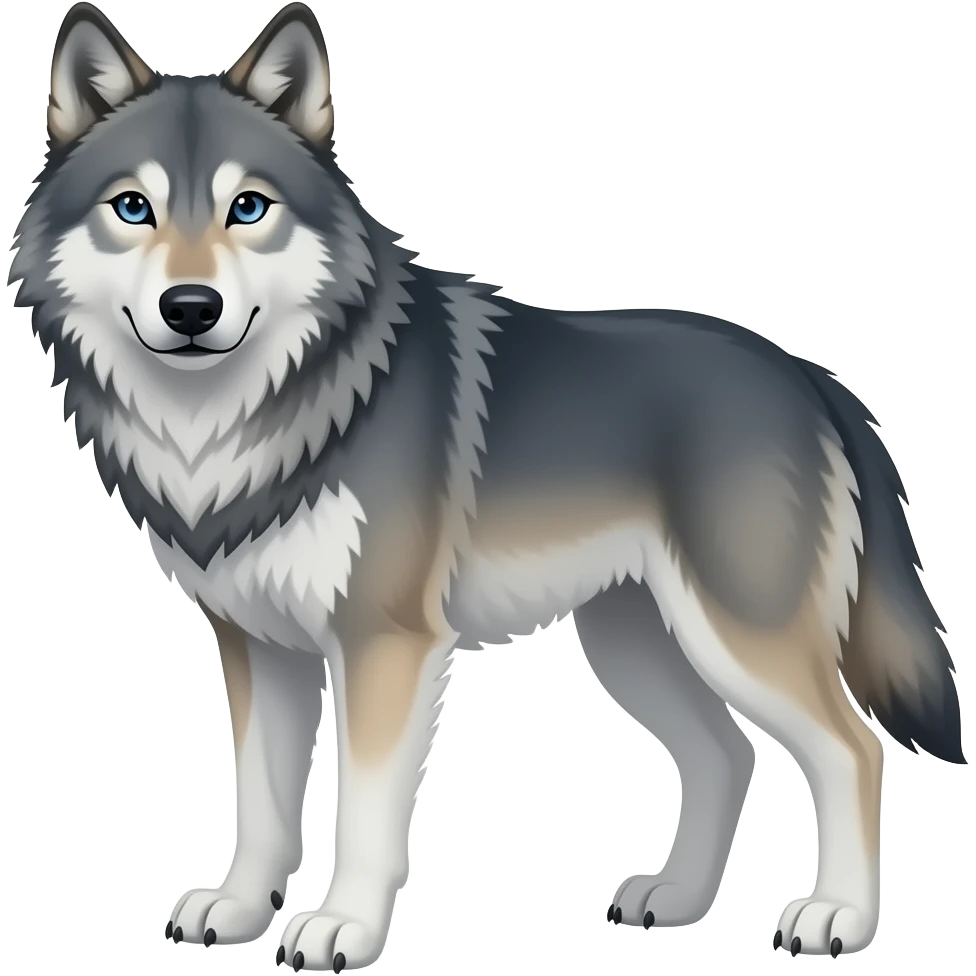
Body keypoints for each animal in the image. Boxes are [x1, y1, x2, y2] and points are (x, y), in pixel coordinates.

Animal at [8, 1, 967, 971]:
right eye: (134, 207)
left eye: (249, 207)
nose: (192, 309)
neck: (232, 421)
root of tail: (807, 374)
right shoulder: (258, 646)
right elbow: (262, 802)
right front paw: (240, 910)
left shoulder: (384, 643)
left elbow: (363, 812)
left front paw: (343, 927)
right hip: (635, 644)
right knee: (728, 756)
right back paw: (676, 899)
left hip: (737, 637)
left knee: (853, 749)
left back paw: (835, 915)